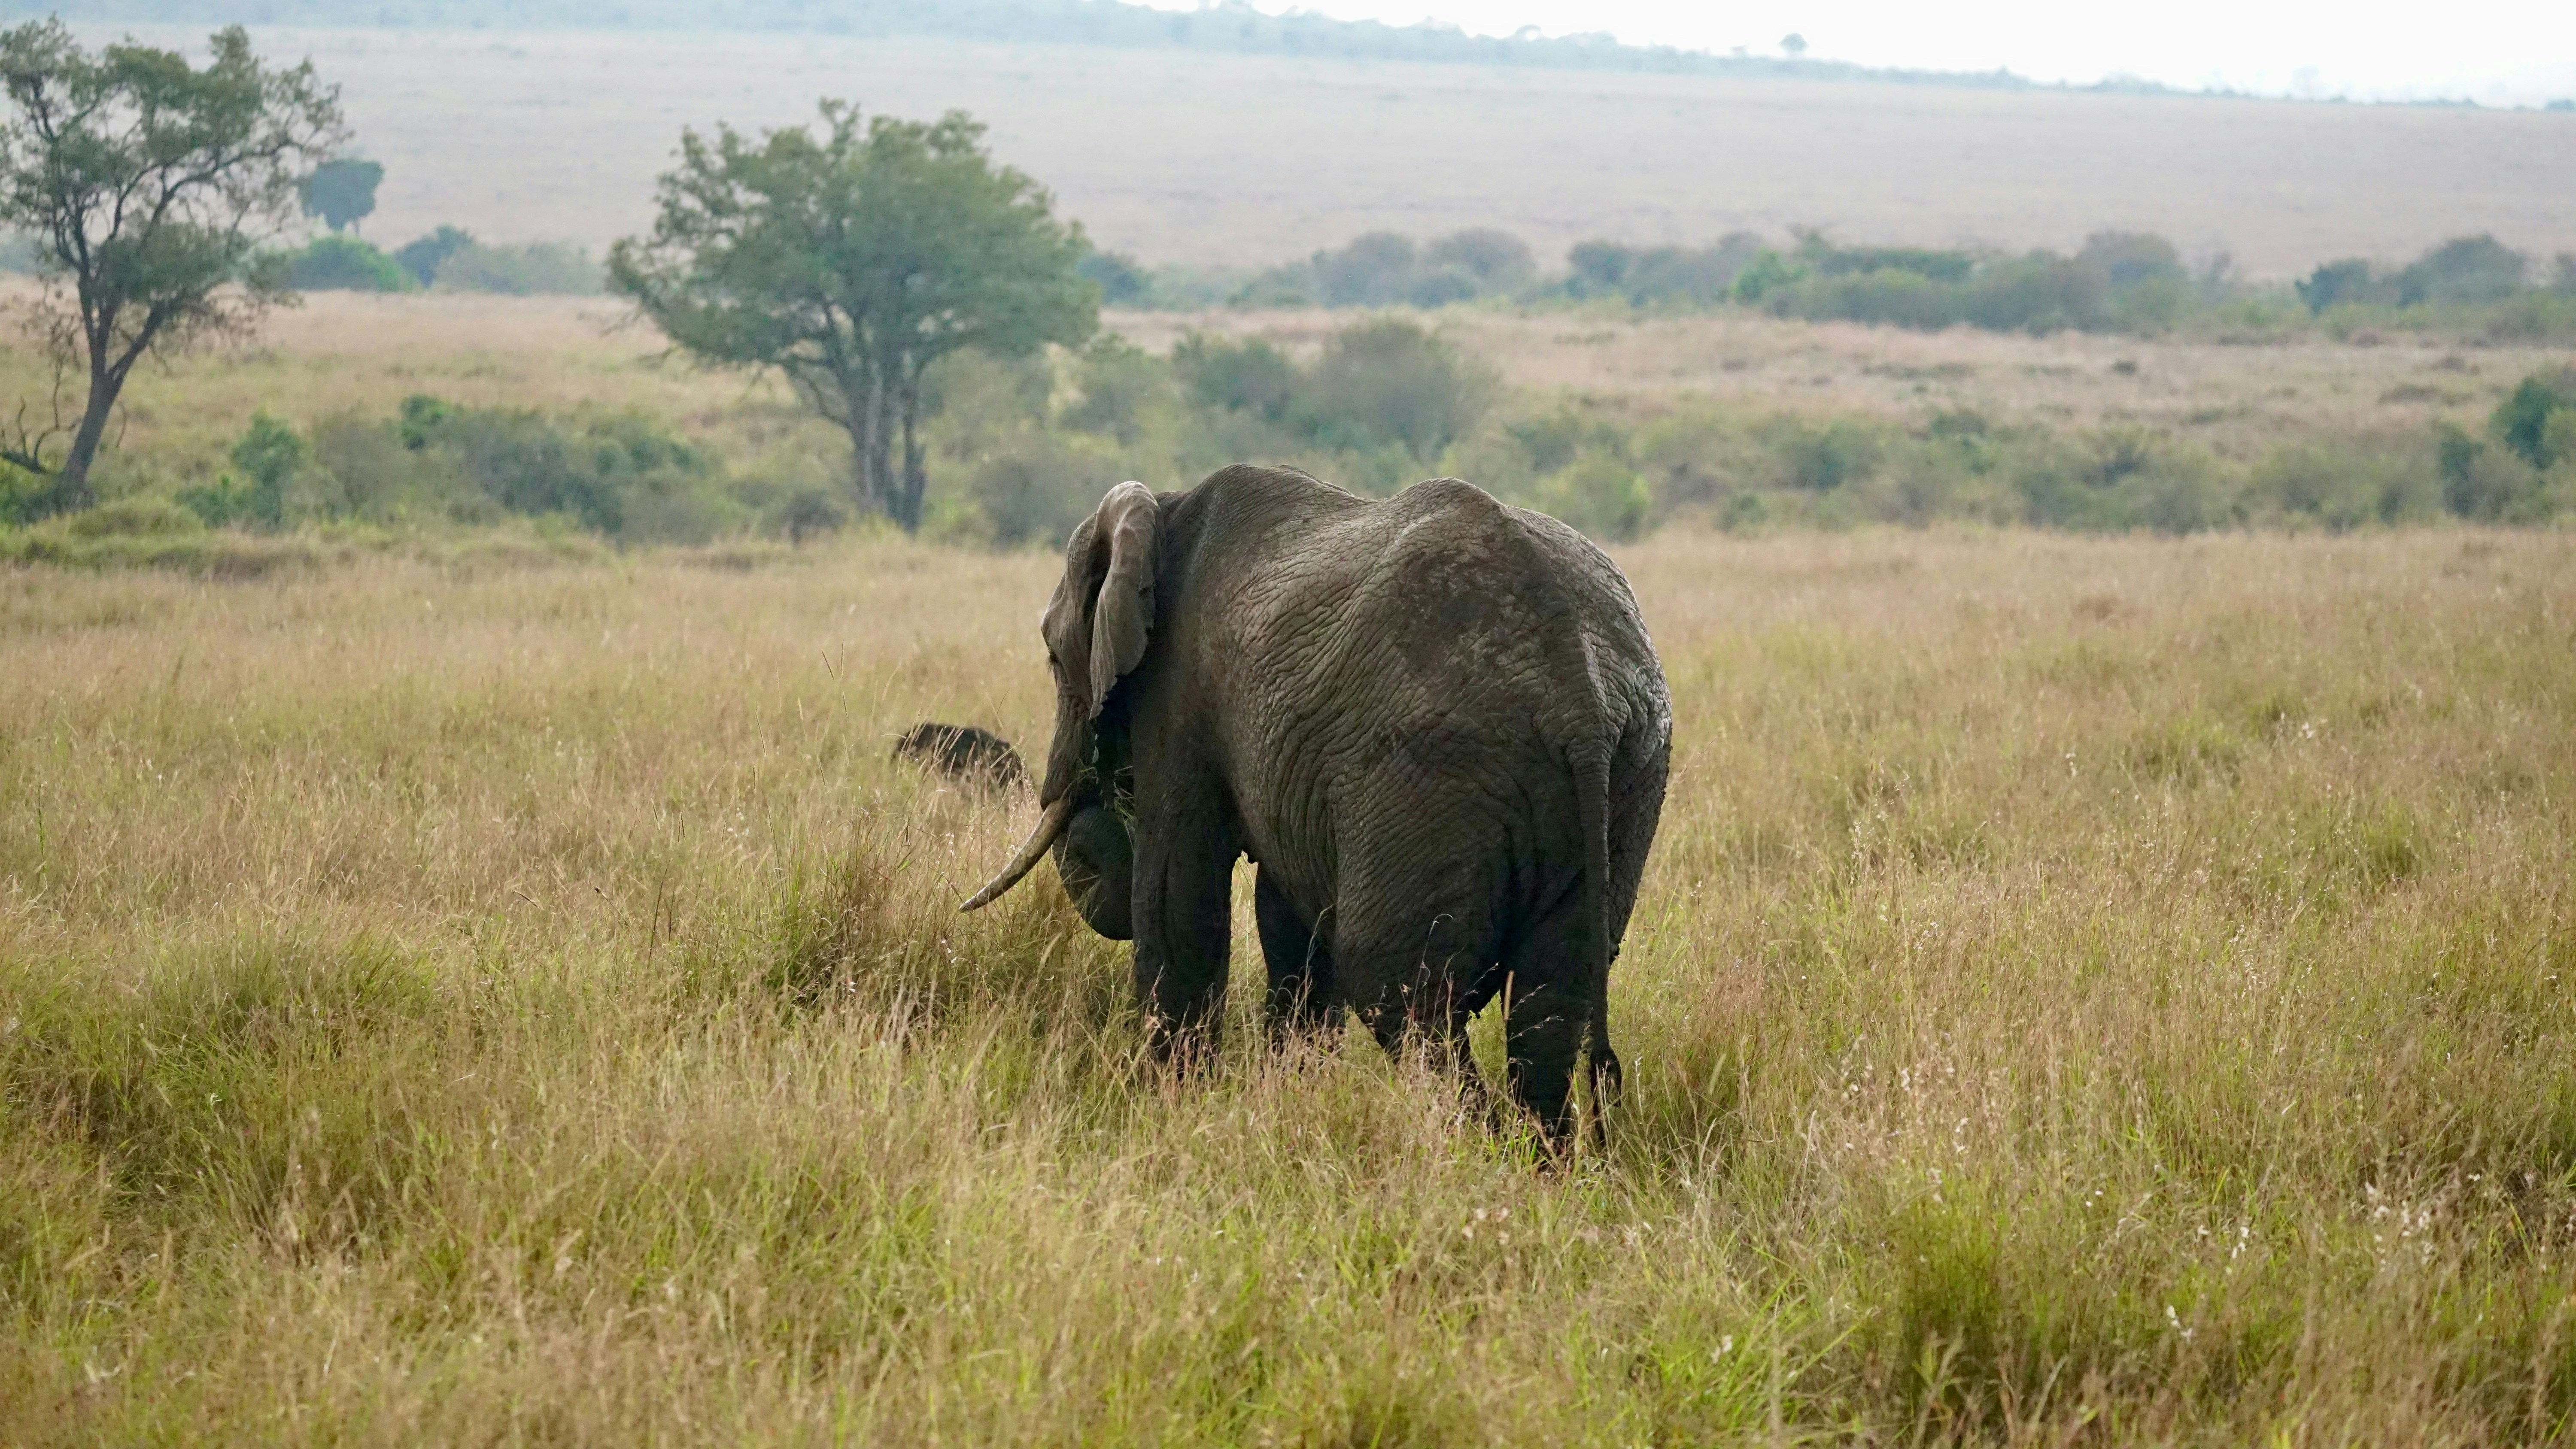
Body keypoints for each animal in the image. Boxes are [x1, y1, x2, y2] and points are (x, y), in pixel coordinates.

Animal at [963, 465, 1670, 1140]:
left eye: (1054, 659)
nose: (1087, 792)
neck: (1162, 507)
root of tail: (1579, 699)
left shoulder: (1179, 696)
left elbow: (1177, 897)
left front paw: (1172, 1109)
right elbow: (1287, 919)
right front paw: (1285, 1096)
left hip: (1432, 774)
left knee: (1401, 989)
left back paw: (1470, 1151)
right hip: (1629, 774)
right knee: (1551, 999)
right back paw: (1534, 1165)